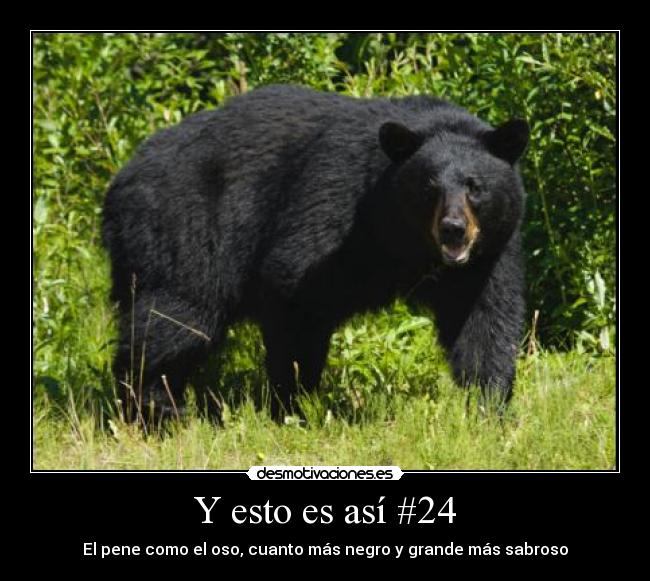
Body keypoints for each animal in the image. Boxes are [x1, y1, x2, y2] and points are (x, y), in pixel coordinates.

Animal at [102, 84, 528, 423]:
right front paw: (292, 405)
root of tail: (122, 177)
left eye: (475, 186)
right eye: (429, 188)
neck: (402, 239)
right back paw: (155, 410)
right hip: (182, 230)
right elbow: (295, 291)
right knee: (174, 319)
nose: (452, 228)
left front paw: (491, 408)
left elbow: (483, 322)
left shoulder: (485, 258)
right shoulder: (334, 208)